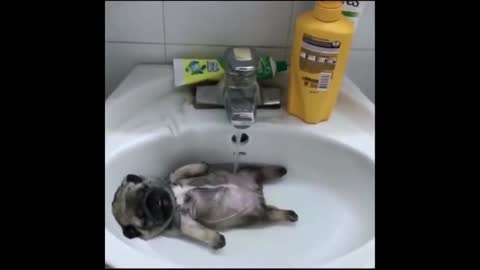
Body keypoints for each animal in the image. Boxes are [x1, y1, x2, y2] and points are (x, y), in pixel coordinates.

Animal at [111, 162, 298, 249]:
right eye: (143, 217)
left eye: (145, 189)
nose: (154, 201)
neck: (175, 199)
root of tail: (258, 193)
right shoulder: (184, 223)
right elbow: (200, 232)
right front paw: (217, 240)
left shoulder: (174, 179)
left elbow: (181, 170)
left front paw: (203, 165)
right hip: (259, 214)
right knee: (274, 212)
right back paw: (291, 214)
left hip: (248, 172)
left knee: (262, 171)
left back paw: (280, 170)